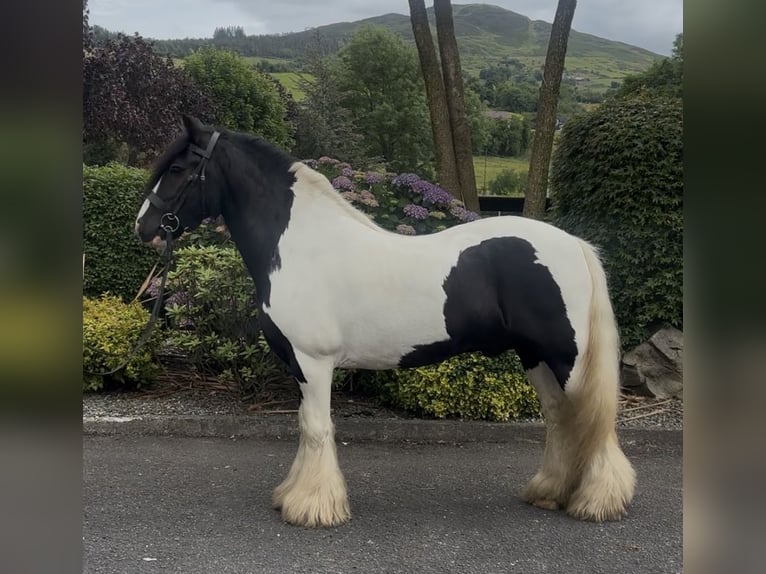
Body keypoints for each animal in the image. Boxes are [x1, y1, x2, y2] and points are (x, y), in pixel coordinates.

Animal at [135, 115, 635, 528]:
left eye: (177, 169)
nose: (144, 227)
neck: (299, 244)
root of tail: (574, 244)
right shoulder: (299, 366)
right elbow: (304, 426)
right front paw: (293, 494)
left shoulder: (314, 362)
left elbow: (317, 428)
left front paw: (313, 507)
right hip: (534, 356)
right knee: (559, 417)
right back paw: (550, 492)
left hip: (565, 358)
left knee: (591, 420)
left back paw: (597, 501)